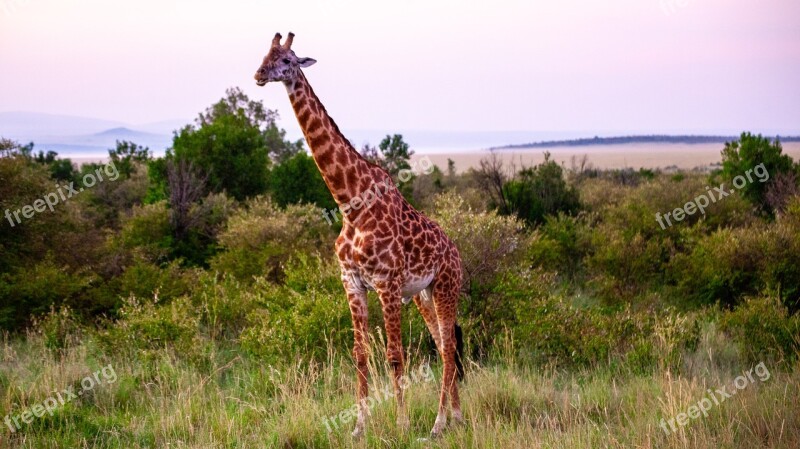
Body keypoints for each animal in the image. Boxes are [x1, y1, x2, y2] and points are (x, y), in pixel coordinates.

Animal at [256, 32, 466, 438]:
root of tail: (456, 251)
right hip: (424, 295)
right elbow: (360, 355)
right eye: (263, 55)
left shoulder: (386, 283)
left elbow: (395, 356)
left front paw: (401, 425)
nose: (258, 75)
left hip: (447, 286)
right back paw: (456, 417)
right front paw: (358, 428)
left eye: (287, 59)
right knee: (441, 342)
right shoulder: (352, 283)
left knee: (448, 348)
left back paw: (437, 425)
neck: (350, 204)